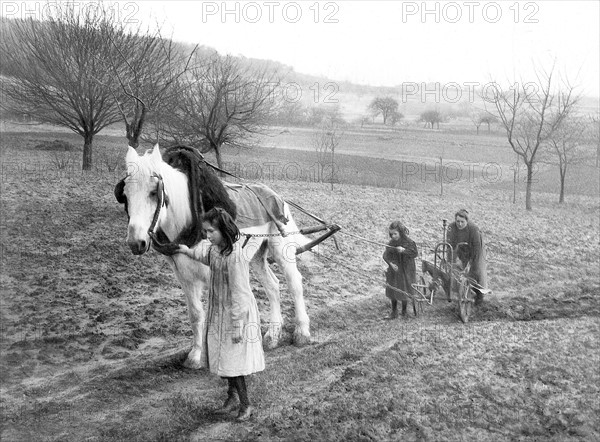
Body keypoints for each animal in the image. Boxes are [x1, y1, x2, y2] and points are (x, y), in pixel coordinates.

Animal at [117, 146, 312, 370]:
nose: (135, 242)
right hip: (255, 255)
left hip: (280, 248)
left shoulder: (216, 271)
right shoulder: (185, 276)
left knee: (294, 283)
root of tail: (276, 196)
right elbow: (196, 314)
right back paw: (272, 335)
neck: (190, 219)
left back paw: (302, 331)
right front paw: (196, 355)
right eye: (125, 195)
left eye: (152, 192)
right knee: (272, 285)